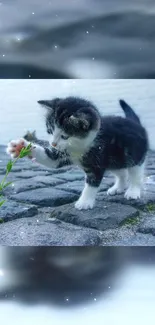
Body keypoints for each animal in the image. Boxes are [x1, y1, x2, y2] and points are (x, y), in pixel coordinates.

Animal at [6, 96, 148, 210]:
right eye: (50, 130)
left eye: (64, 136)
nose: (53, 144)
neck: (81, 146)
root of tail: (136, 123)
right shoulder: (61, 154)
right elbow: (50, 159)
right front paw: (20, 146)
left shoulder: (98, 159)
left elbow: (92, 183)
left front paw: (84, 202)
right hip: (115, 160)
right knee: (122, 173)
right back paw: (118, 188)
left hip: (134, 154)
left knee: (135, 173)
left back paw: (133, 191)